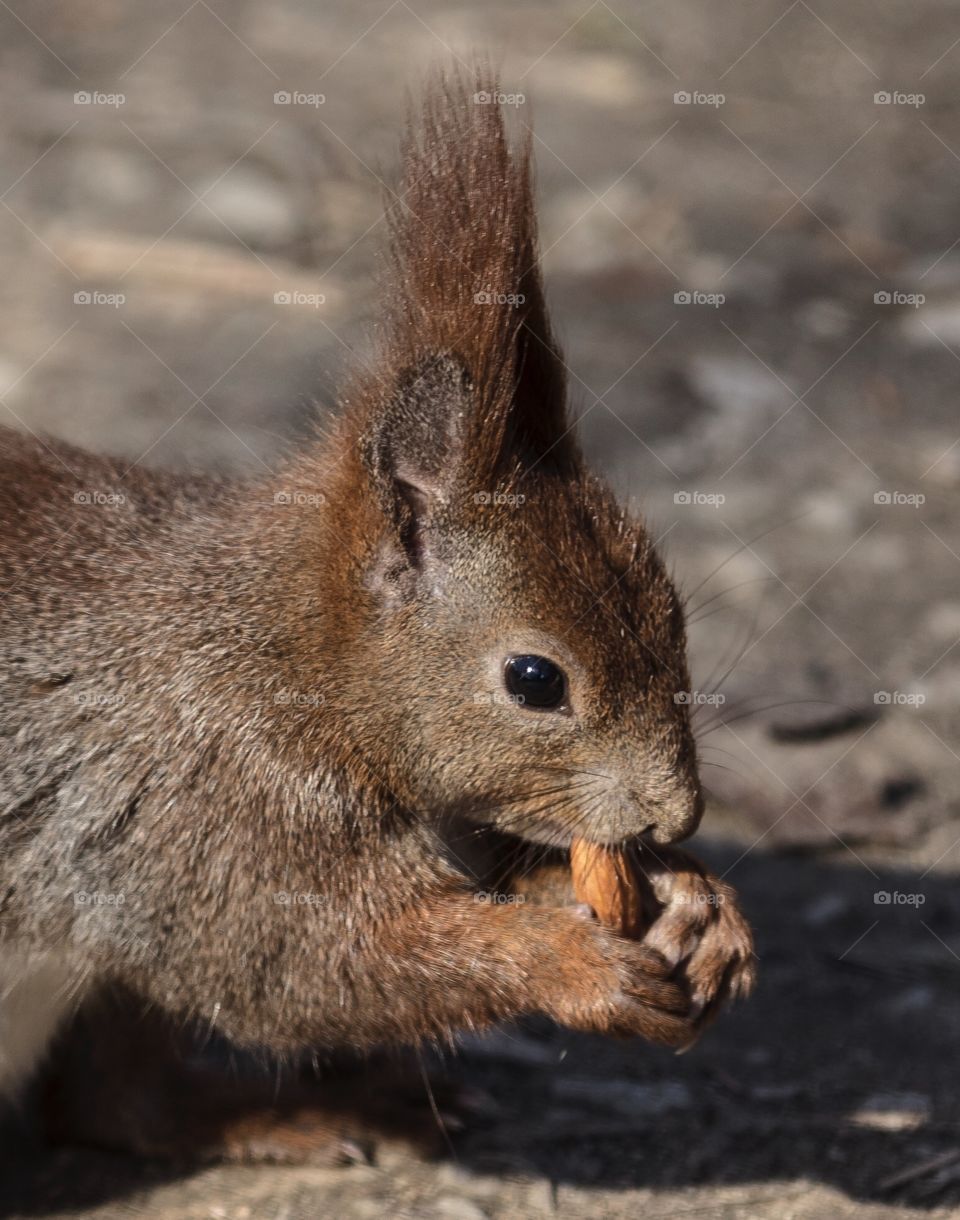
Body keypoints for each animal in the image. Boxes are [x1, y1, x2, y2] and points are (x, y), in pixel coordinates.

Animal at [0, 68, 755, 1165]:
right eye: (536, 680)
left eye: (675, 611)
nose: (677, 813)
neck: (287, 657)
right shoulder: (212, 812)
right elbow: (309, 961)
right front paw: (566, 959)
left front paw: (695, 906)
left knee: (116, 1103)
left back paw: (302, 1112)